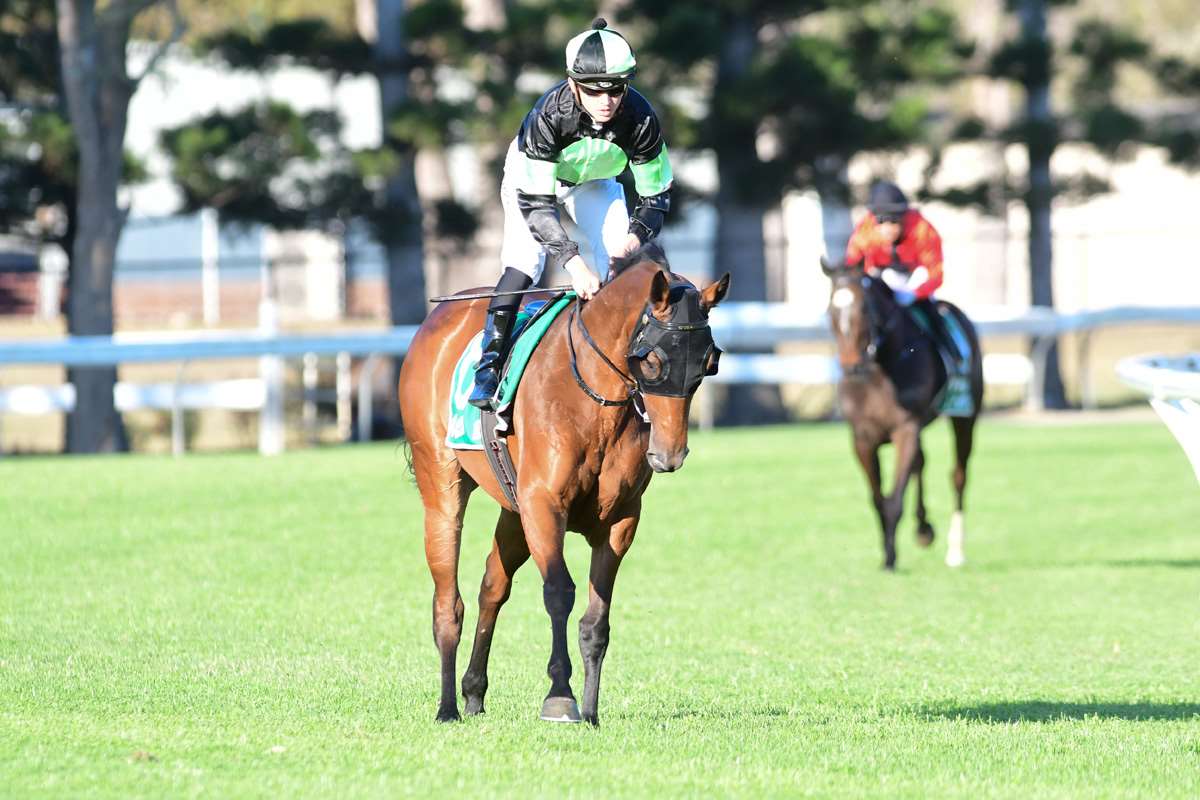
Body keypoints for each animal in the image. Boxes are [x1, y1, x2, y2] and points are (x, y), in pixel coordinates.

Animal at [398, 250, 724, 724]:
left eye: (708, 363)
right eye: (651, 360)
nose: (670, 455)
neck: (594, 399)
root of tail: (435, 318)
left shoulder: (618, 521)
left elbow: (596, 620)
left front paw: (590, 710)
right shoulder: (544, 506)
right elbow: (558, 592)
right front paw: (559, 695)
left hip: (513, 507)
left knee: (492, 587)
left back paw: (473, 693)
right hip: (442, 487)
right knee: (448, 601)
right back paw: (446, 707)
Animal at [825, 261, 984, 568]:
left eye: (864, 310)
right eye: (830, 312)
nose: (852, 367)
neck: (880, 369)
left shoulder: (906, 428)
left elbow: (895, 498)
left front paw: (890, 558)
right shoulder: (862, 438)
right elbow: (878, 498)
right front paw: (888, 551)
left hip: (965, 416)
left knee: (958, 475)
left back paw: (955, 551)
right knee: (921, 463)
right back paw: (923, 528)